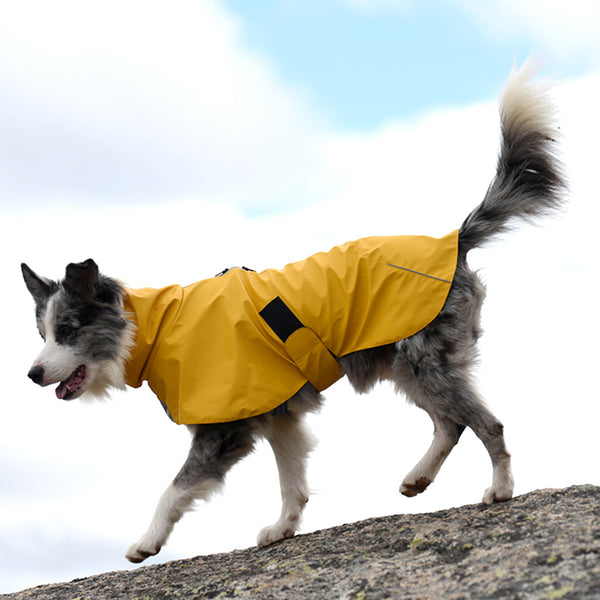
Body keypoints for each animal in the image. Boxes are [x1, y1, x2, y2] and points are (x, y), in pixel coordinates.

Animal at [19, 63, 564, 564]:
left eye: (67, 330)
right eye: (43, 333)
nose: (32, 374)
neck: (155, 327)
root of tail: (453, 241)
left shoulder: (224, 431)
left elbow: (174, 489)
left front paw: (146, 542)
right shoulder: (279, 416)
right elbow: (292, 479)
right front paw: (283, 527)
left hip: (423, 361)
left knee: (487, 424)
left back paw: (500, 489)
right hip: (405, 365)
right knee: (449, 425)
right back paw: (418, 478)